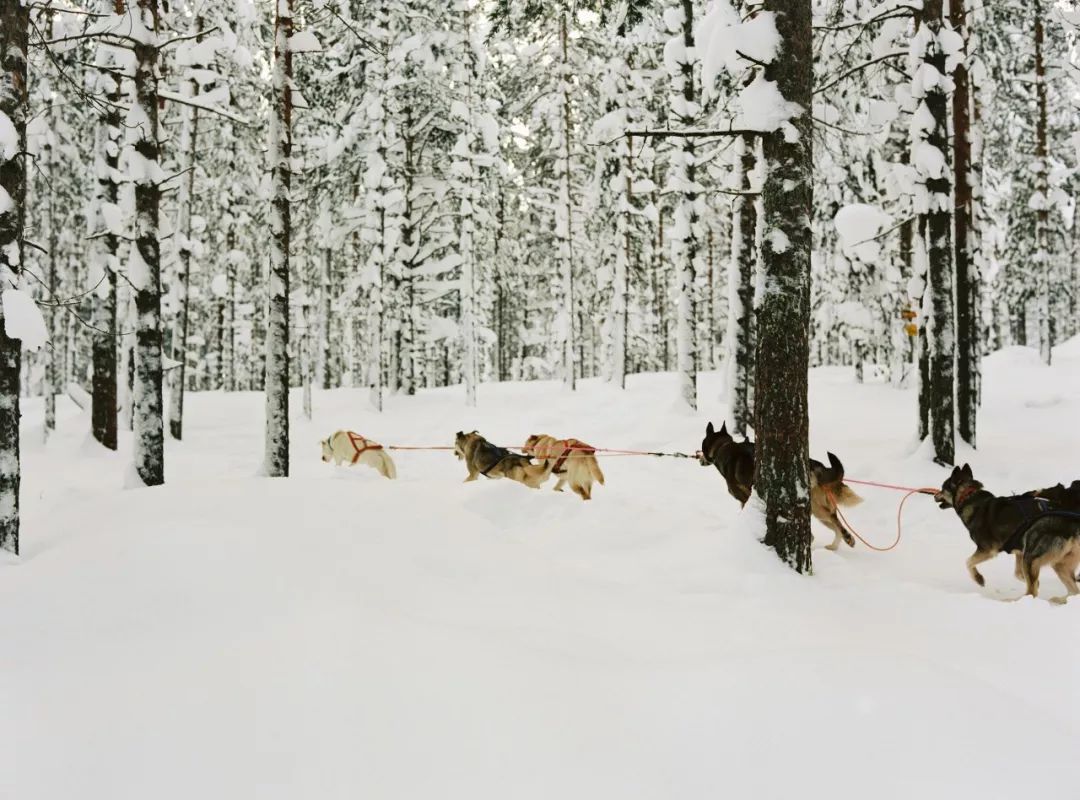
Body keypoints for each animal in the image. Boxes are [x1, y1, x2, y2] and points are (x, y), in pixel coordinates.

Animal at [695, 425, 864, 548]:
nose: (699, 458)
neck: (723, 446)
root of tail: (816, 465)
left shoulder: (744, 498)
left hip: (817, 510)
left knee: (830, 526)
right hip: (819, 511)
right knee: (836, 524)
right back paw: (842, 542)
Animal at [933, 464, 1075, 600]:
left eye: (942, 488)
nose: (934, 495)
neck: (968, 497)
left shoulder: (987, 550)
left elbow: (968, 562)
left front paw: (979, 579)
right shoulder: (1019, 552)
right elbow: (1018, 574)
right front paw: (1035, 582)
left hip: (1032, 557)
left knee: (1033, 592)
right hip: (1055, 562)